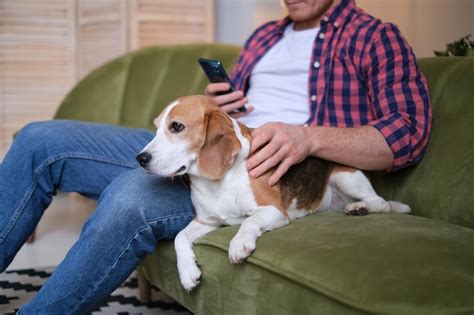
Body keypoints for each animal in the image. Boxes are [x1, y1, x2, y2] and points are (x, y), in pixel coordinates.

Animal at [137, 95, 412, 292]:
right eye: (156, 128)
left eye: (177, 127)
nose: (140, 159)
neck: (219, 183)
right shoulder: (207, 221)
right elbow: (179, 237)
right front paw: (187, 272)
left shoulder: (274, 211)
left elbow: (248, 221)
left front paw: (239, 243)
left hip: (346, 176)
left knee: (382, 203)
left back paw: (360, 207)